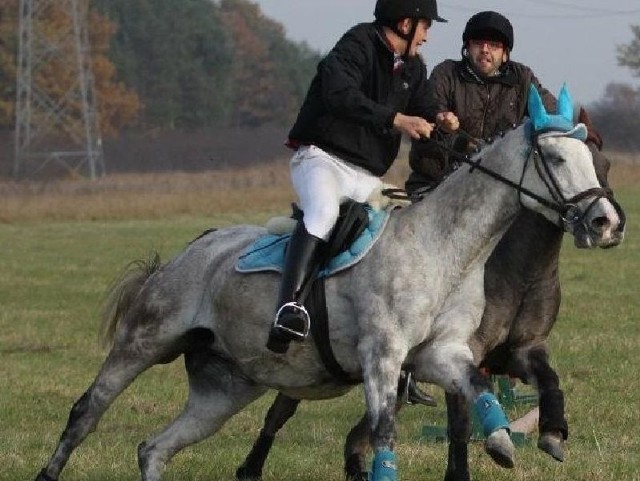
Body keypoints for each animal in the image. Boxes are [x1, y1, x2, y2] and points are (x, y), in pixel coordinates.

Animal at [33, 86, 620, 480]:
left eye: (597, 158)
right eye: (556, 157)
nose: (605, 222)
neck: (442, 249)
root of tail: (194, 247)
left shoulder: (439, 354)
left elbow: (477, 387)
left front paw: (502, 442)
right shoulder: (382, 358)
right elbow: (382, 434)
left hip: (225, 388)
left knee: (154, 448)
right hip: (144, 343)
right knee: (86, 413)